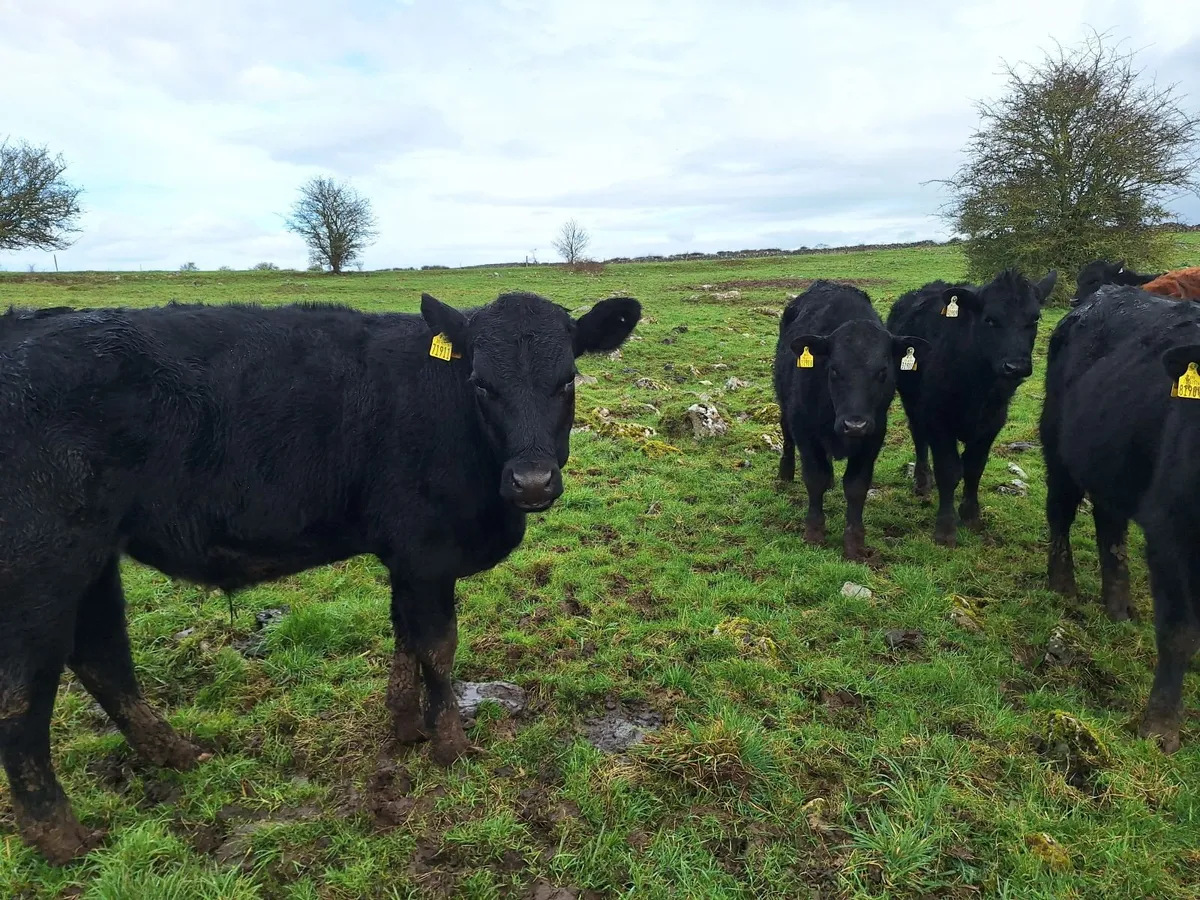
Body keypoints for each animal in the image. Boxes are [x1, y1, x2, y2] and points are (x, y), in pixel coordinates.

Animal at [0, 290, 640, 864]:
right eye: (482, 383)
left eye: (567, 380)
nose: (532, 482)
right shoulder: (428, 553)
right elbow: (438, 648)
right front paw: (450, 746)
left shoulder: (405, 558)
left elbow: (406, 639)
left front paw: (405, 727)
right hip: (41, 562)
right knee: (24, 692)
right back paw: (63, 839)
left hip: (93, 556)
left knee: (101, 656)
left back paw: (176, 755)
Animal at [774, 280, 929, 561]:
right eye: (834, 369)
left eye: (883, 371)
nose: (854, 425)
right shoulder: (804, 429)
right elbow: (815, 478)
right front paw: (814, 533)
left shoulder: (874, 434)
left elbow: (856, 486)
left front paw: (854, 544)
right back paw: (786, 473)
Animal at [885, 268, 1057, 547]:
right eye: (990, 320)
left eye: (1034, 319)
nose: (1015, 366)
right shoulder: (937, 418)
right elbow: (948, 470)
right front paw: (945, 528)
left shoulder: (993, 420)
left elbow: (974, 468)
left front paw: (970, 515)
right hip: (912, 401)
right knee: (919, 437)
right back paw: (922, 481)